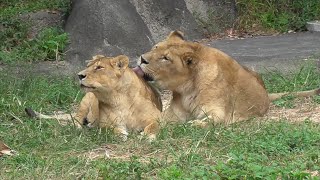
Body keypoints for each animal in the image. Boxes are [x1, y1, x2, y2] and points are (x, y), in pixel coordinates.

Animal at [26, 54, 162, 141]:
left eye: (99, 67)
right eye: (88, 66)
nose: (80, 75)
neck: (119, 98)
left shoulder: (156, 118)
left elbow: (153, 126)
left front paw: (147, 136)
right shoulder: (105, 124)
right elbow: (110, 129)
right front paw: (121, 134)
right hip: (86, 99)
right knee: (77, 119)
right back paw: (82, 127)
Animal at [133, 31, 320, 124]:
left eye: (166, 58)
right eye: (155, 47)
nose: (142, 59)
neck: (186, 89)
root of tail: (266, 94)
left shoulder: (219, 112)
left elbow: (208, 122)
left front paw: (194, 124)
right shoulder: (172, 114)